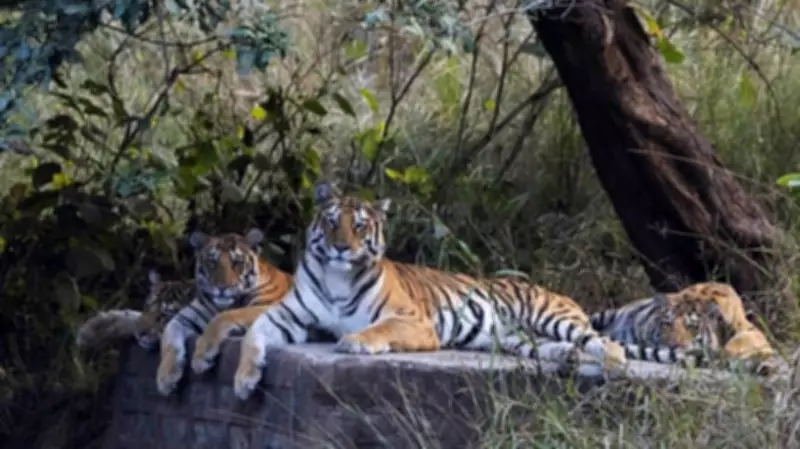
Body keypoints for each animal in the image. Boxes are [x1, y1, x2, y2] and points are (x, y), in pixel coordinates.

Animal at [156, 228, 293, 396]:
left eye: (237, 262)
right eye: (212, 262)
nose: (222, 288)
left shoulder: (267, 306)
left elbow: (223, 317)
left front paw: (202, 355)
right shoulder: (185, 317)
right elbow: (169, 336)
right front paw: (166, 376)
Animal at [231, 181, 629, 400]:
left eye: (359, 226)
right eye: (331, 222)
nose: (341, 247)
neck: (336, 277)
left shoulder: (414, 321)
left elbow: (379, 328)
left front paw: (355, 341)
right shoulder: (288, 316)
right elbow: (253, 333)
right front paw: (244, 380)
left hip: (552, 316)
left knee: (606, 341)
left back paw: (613, 367)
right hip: (518, 338)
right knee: (556, 347)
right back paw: (568, 359)